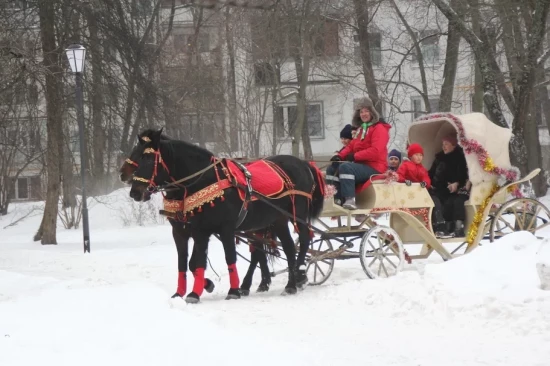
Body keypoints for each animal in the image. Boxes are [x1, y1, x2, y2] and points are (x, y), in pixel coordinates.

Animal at [129, 129, 328, 304]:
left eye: (148, 158)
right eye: (135, 156)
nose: (135, 192)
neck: (206, 180)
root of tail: (304, 163)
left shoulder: (225, 228)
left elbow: (228, 258)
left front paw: (232, 291)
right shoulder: (191, 231)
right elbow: (189, 263)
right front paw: (188, 293)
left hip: (296, 214)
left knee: (303, 239)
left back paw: (299, 274)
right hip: (276, 220)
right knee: (287, 247)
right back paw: (290, 283)